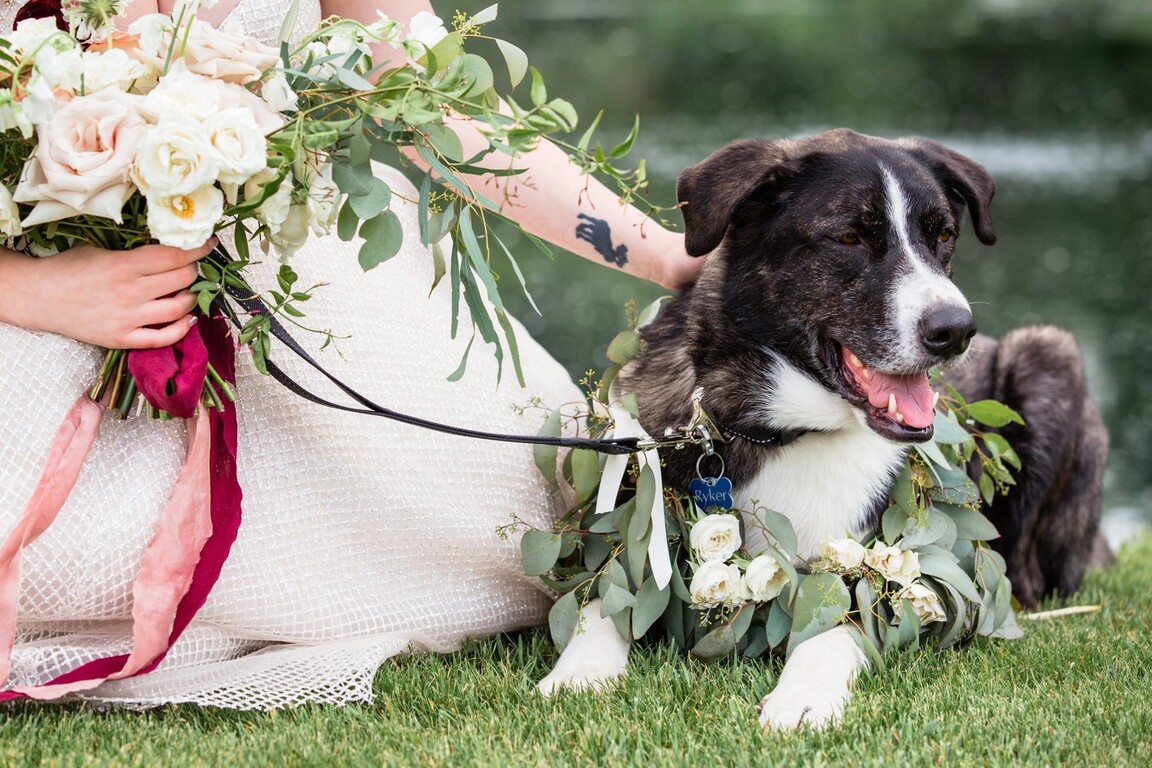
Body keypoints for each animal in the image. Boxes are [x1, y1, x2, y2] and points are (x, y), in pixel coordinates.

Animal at [536, 128, 1105, 732]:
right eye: (850, 236)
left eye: (943, 234)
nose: (956, 331)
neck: (779, 429)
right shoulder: (636, 523)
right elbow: (603, 596)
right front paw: (579, 671)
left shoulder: (906, 572)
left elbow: (839, 623)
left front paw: (802, 695)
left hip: (1049, 353)